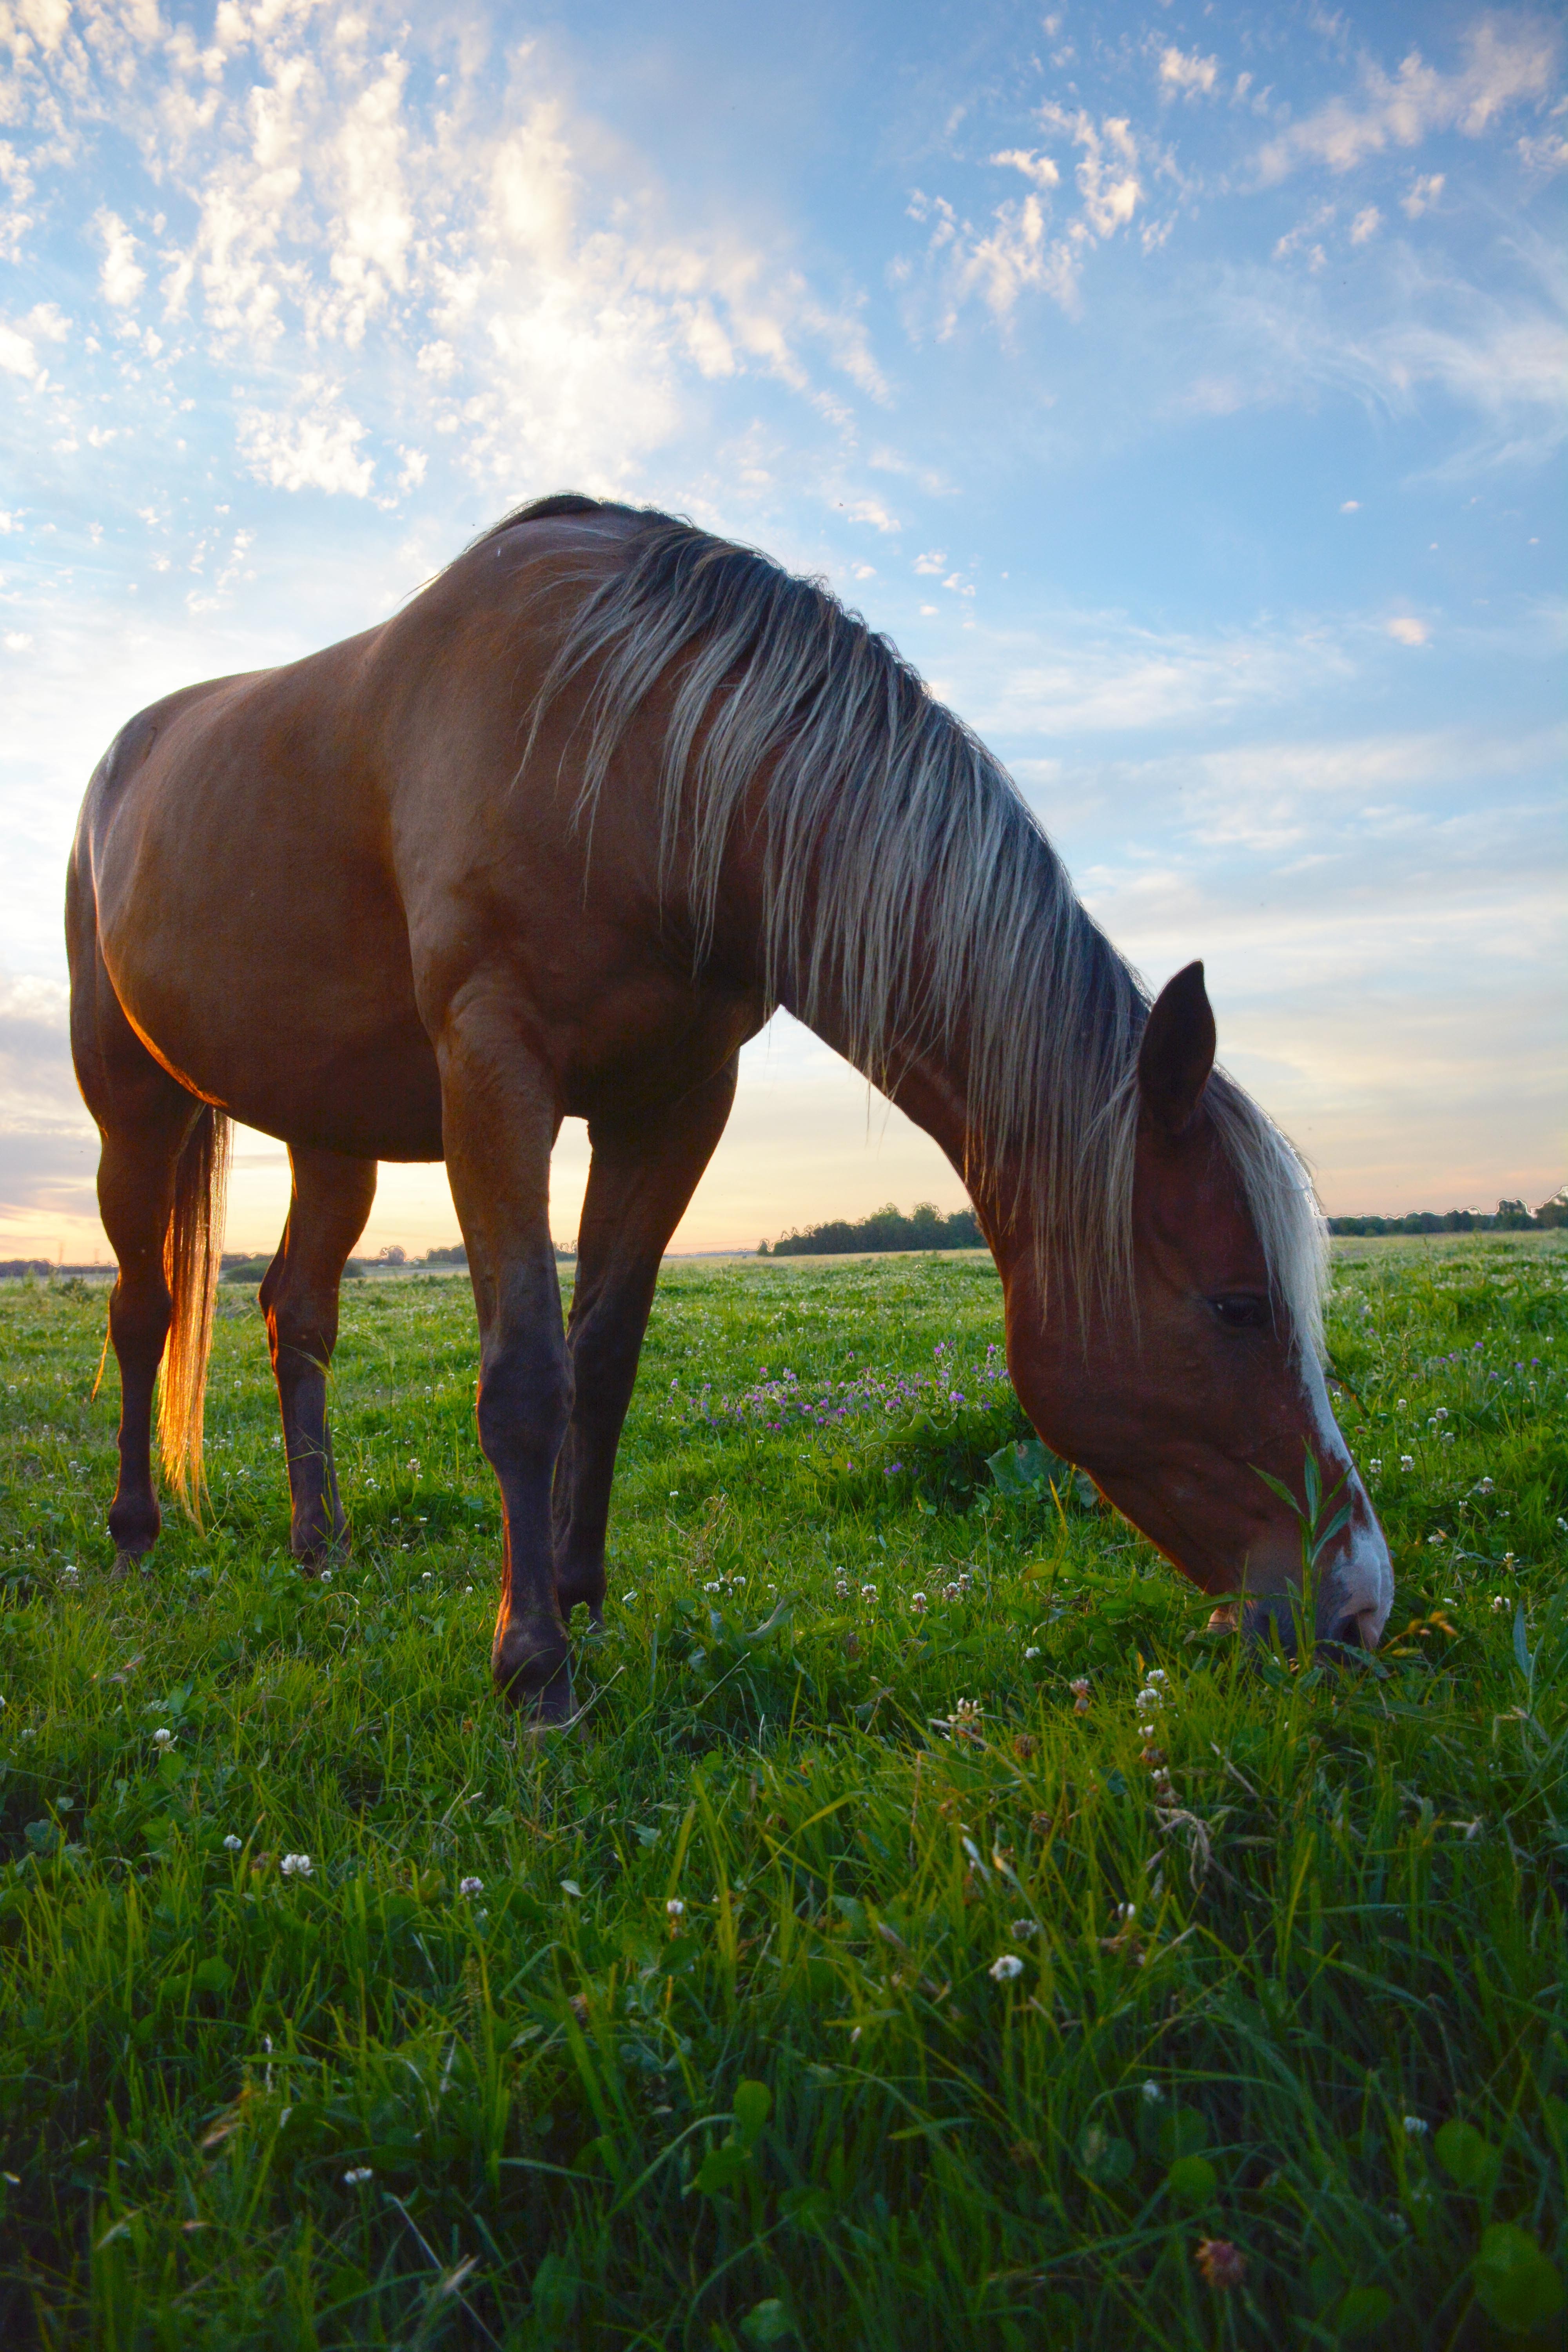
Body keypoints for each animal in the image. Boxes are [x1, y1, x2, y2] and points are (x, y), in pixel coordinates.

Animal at [70, 487, 1401, 1722]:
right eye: (1236, 1305)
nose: (1358, 1604)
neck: (624, 742)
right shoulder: (494, 1072)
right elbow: (526, 1375)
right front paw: (532, 1663)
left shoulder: (674, 1102)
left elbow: (604, 1363)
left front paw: (582, 1599)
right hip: (130, 1104)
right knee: (143, 1311)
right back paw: (134, 1541)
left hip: (329, 1133)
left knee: (297, 1314)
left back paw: (322, 1547)